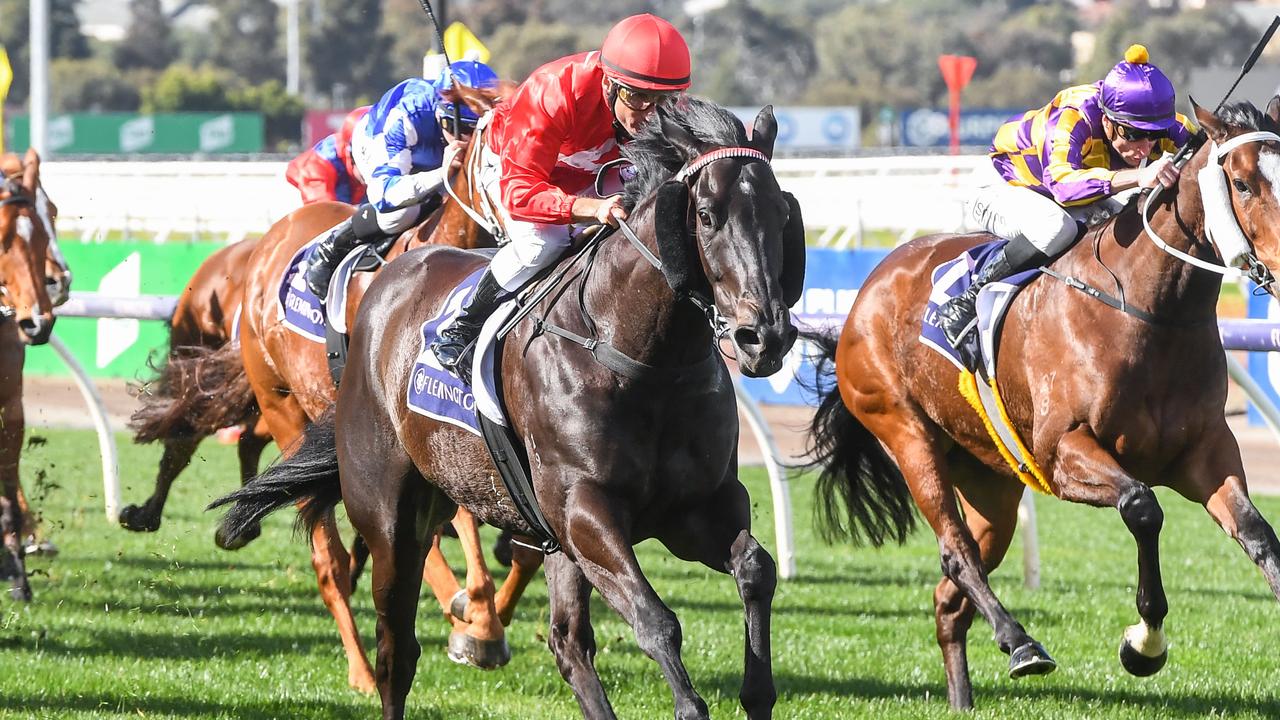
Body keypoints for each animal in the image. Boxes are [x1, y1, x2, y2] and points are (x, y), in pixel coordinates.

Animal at [215, 96, 803, 717]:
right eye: (707, 215)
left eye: (781, 216)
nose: (764, 337)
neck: (638, 354)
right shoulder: (584, 510)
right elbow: (656, 620)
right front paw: (689, 702)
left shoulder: (691, 509)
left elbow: (756, 570)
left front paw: (757, 689)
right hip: (386, 510)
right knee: (395, 645)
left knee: (568, 644)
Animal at [803, 96, 1280, 707]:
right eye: (1241, 183)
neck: (1146, 311)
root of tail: (870, 288)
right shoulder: (1062, 453)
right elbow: (1143, 507)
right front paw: (1143, 645)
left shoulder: (1204, 453)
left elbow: (1258, 533)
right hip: (906, 434)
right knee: (956, 552)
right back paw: (1021, 643)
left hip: (992, 483)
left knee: (949, 597)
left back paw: (964, 699)